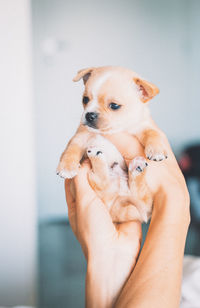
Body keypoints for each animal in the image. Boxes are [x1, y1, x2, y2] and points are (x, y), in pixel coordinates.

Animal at [57, 66, 166, 223]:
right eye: (85, 100)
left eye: (114, 106)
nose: (89, 115)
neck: (111, 131)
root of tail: (119, 201)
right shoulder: (81, 137)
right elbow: (71, 149)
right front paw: (66, 167)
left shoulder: (142, 127)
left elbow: (153, 133)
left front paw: (157, 150)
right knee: (100, 181)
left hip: (142, 200)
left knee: (136, 193)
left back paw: (136, 169)